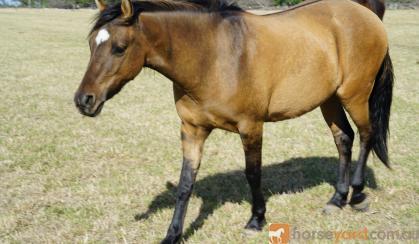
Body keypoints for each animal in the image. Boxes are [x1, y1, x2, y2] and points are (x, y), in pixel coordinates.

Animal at [73, 0, 394, 242]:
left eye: (119, 47)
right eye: (90, 44)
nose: (83, 100)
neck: (213, 57)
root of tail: (365, 13)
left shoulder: (250, 126)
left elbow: (253, 173)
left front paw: (256, 219)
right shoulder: (192, 130)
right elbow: (185, 183)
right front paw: (173, 234)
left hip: (355, 95)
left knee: (366, 135)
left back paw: (357, 195)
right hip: (330, 99)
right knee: (344, 139)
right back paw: (337, 199)